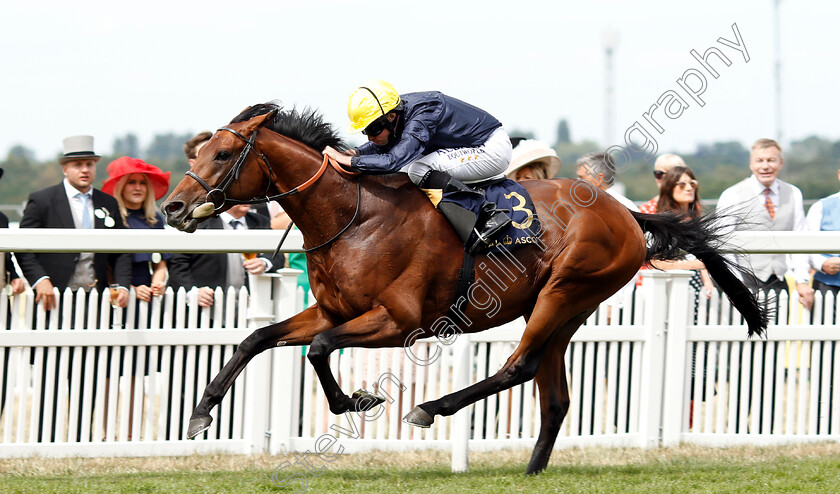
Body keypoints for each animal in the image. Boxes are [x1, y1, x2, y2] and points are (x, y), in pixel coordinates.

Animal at [159, 105, 768, 474]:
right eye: (198, 151)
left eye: (220, 154)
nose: (172, 208)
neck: (353, 214)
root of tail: (627, 214)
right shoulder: (331, 309)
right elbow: (257, 340)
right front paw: (201, 413)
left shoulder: (401, 322)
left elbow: (319, 349)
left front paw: (360, 399)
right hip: (563, 307)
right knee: (554, 394)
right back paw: (531, 470)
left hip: (566, 291)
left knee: (518, 368)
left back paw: (431, 407)